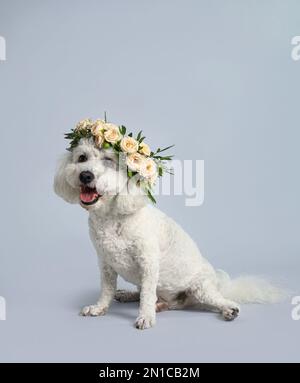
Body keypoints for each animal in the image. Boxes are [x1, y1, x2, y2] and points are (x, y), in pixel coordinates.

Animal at [53, 137, 284, 330]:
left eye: (109, 160)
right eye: (82, 158)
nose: (85, 175)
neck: (113, 216)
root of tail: (219, 285)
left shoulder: (148, 262)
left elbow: (147, 294)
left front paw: (145, 317)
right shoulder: (106, 263)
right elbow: (107, 289)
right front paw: (99, 308)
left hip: (201, 288)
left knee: (214, 301)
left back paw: (229, 310)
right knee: (160, 299)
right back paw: (134, 297)